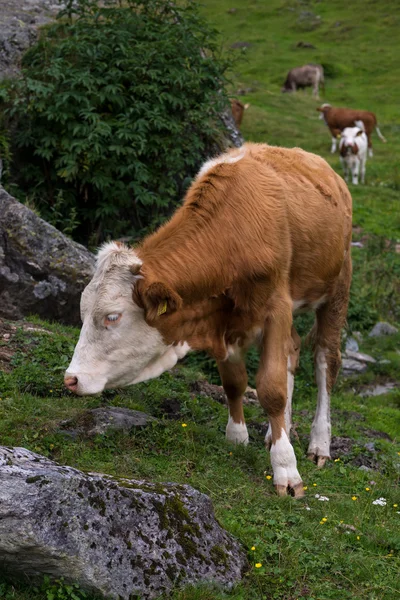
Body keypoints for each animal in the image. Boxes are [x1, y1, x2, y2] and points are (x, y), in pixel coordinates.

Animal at [64, 144, 352, 496]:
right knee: (293, 349)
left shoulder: (276, 306)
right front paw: (237, 436)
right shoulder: (223, 318)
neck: (233, 235)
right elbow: (234, 382)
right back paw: (275, 432)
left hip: (338, 286)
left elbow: (271, 389)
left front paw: (286, 469)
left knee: (325, 360)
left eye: (112, 317)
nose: (71, 379)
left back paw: (319, 444)